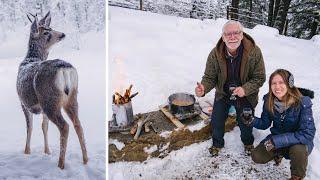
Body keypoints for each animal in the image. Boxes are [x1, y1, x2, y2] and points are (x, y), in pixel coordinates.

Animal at [16, 11, 87, 169]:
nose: (62, 34)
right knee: (78, 124)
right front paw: (47, 151)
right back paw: (86, 160)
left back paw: (61, 164)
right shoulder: (38, 108)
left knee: (65, 126)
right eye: (46, 31)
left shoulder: (24, 102)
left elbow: (29, 127)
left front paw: (27, 152)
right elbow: (44, 127)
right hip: (71, 97)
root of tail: (65, 69)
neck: (30, 58)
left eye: (50, 27)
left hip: (50, 99)